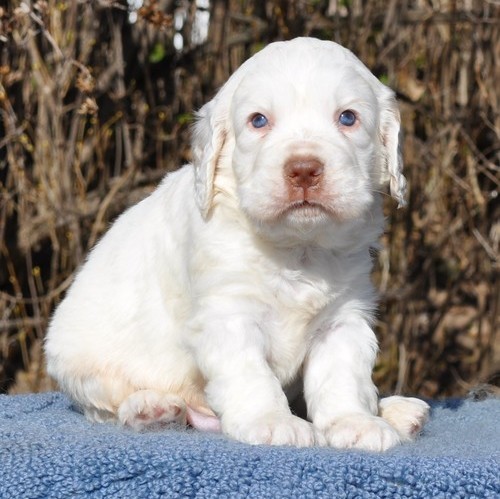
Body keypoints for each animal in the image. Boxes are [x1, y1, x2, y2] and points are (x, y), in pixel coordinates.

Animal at [45, 38, 430, 454]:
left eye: (347, 118)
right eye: (258, 121)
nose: (304, 170)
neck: (298, 247)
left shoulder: (343, 319)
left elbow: (342, 377)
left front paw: (355, 423)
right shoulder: (228, 314)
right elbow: (251, 374)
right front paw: (273, 422)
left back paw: (398, 411)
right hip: (80, 361)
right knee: (108, 403)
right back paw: (152, 408)